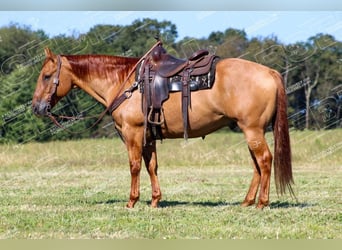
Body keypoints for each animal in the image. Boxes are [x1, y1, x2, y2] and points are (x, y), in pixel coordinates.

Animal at [32, 45, 294, 209]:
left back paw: (261, 203)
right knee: (257, 165)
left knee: (264, 161)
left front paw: (132, 201)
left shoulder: (133, 133)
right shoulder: (148, 136)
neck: (126, 83)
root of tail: (269, 72)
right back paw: (247, 201)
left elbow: (135, 166)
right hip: (250, 130)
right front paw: (155, 200)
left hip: (253, 130)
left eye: (46, 76)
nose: (36, 107)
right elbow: (152, 167)